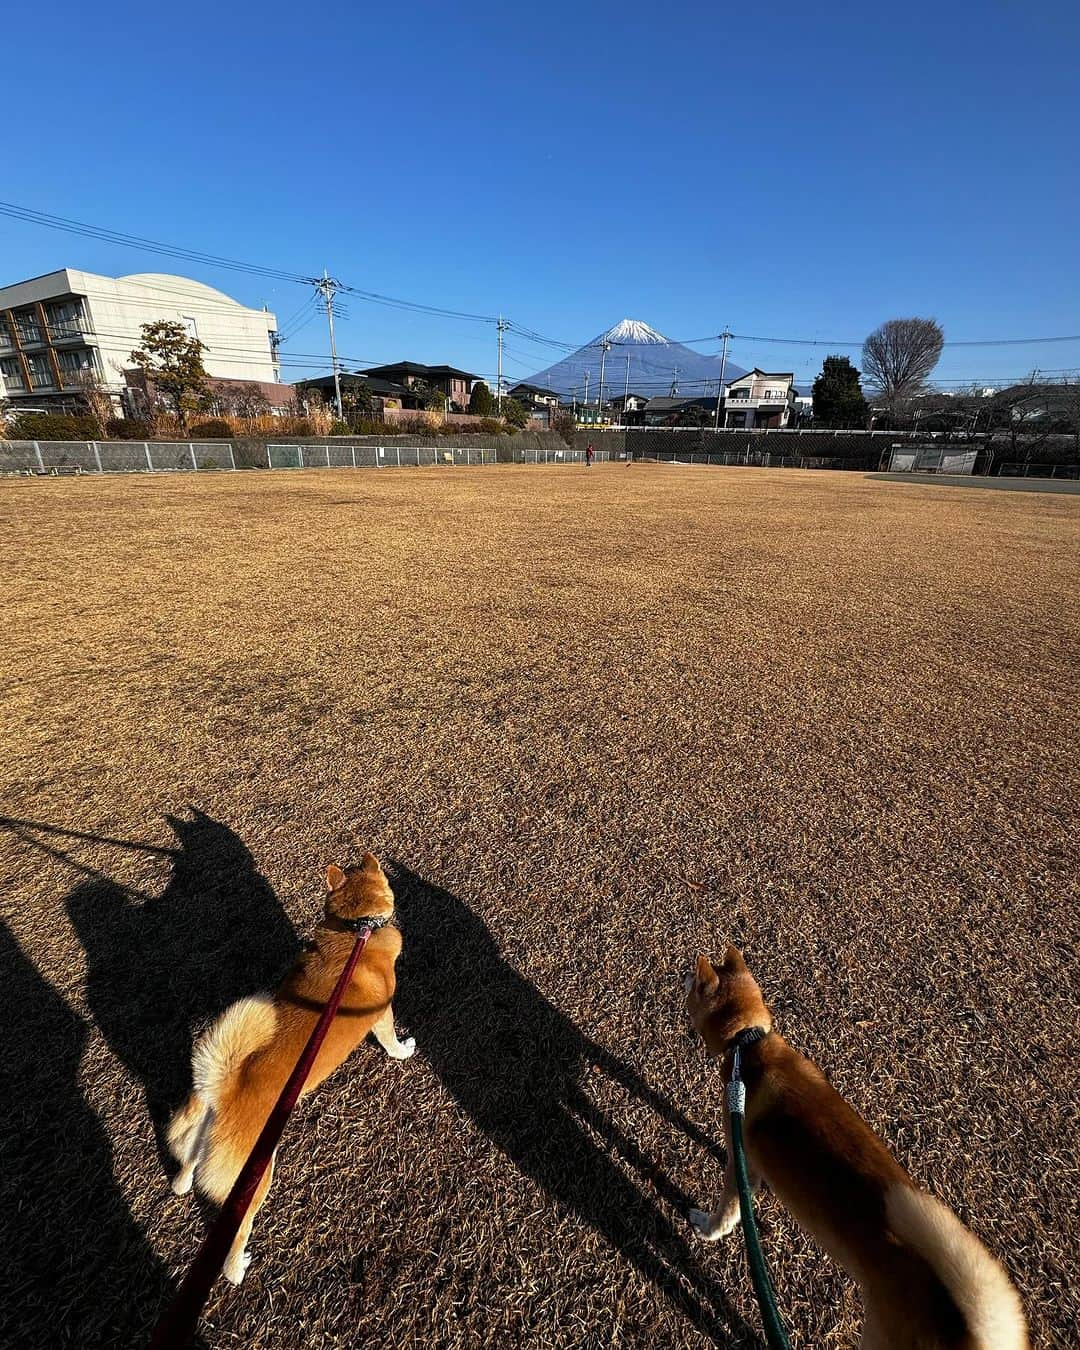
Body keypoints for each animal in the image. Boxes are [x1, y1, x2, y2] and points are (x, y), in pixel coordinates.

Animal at [165, 853, 413, 1285]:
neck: (356, 933)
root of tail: (223, 1091)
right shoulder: (382, 1016)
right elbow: (391, 1041)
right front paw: (404, 1050)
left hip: (197, 1142)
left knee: (186, 1172)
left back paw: (180, 1184)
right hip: (255, 1179)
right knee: (236, 1233)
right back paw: (237, 1269)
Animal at [688, 950, 1026, 1350]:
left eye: (693, 984)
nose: (683, 978)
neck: (749, 1044)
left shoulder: (738, 1151)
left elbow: (727, 1210)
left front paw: (707, 1227)